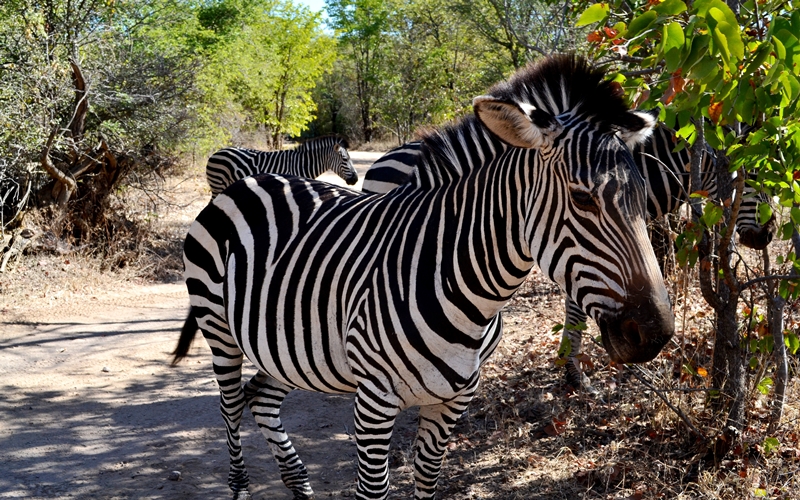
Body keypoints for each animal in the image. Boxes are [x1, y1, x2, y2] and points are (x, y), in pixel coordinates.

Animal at [362, 120, 775, 390]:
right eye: (747, 176)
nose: (767, 235)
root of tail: (382, 159)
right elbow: (577, 311)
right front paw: (574, 374)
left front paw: (569, 367)